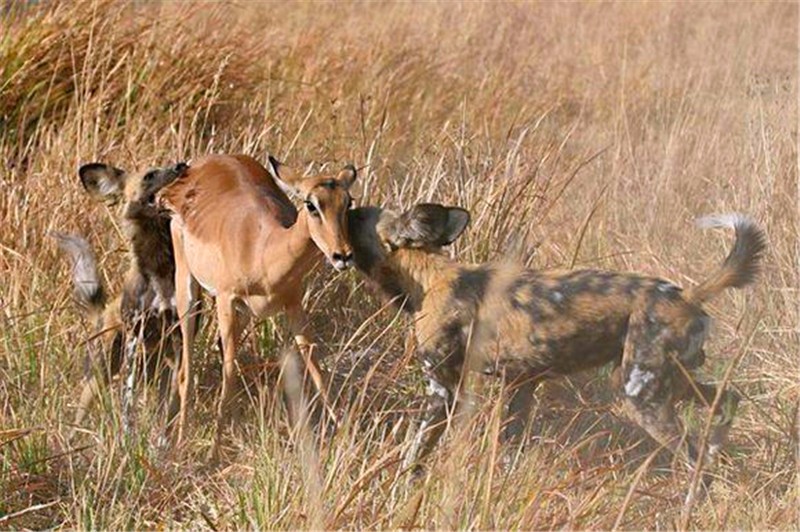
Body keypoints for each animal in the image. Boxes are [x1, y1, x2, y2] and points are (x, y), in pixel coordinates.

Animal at [54, 162, 189, 436]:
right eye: (149, 176)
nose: (181, 165)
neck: (159, 267)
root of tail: (104, 312)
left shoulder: (178, 340)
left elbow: (170, 404)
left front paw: (164, 439)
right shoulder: (134, 340)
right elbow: (128, 403)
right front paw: (128, 437)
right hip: (100, 372)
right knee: (82, 412)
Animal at [158, 155, 354, 462]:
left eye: (348, 202)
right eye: (311, 204)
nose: (342, 256)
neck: (261, 249)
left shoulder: (294, 305)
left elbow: (317, 370)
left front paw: (346, 438)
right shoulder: (226, 301)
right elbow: (228, 376)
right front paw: (213, 451)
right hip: (188, 289)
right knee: (185, 372)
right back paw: (179, 440)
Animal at [346, 205, 764, 486]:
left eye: (358, 215)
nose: (345, 204)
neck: (428, 278)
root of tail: (688, 294)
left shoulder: (444, 392)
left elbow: (414, 453)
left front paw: (402, 487)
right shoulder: (521, 385)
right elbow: (508, 451)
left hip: (641, 395)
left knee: (696, 461)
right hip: (667, 380)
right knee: (728, 400)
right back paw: (717, 451)